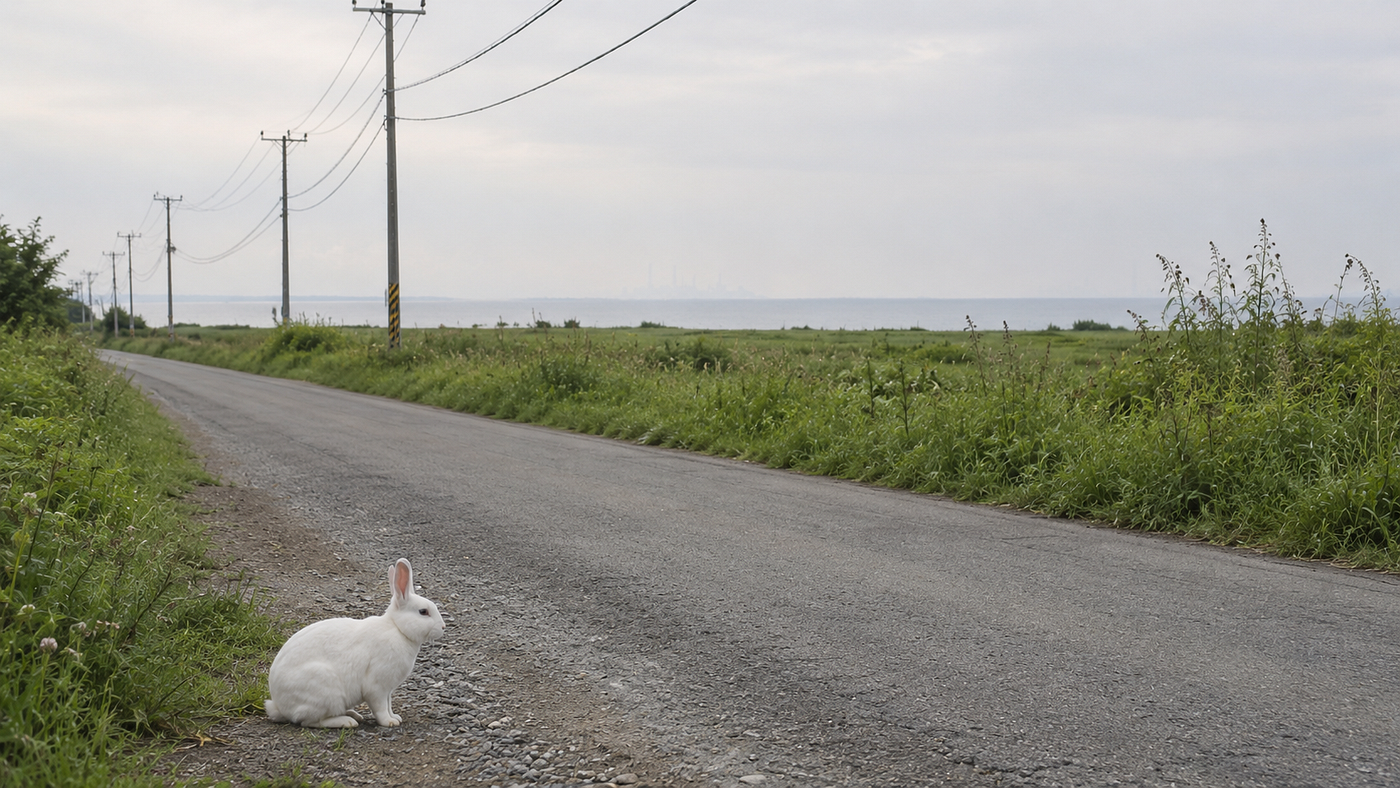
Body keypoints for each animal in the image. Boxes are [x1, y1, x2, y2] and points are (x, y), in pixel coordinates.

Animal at [264, 557, 446, 728]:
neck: (398, 628)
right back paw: (347, 721)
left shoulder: (388, 690)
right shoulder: (377, 686)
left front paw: (395, 717)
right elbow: (380, 707)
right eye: (423, 612)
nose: (443, 627)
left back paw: (353, 715)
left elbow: (388, 705)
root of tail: (279, 706)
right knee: (310, 721)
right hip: (325, 689)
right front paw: (389, 722)